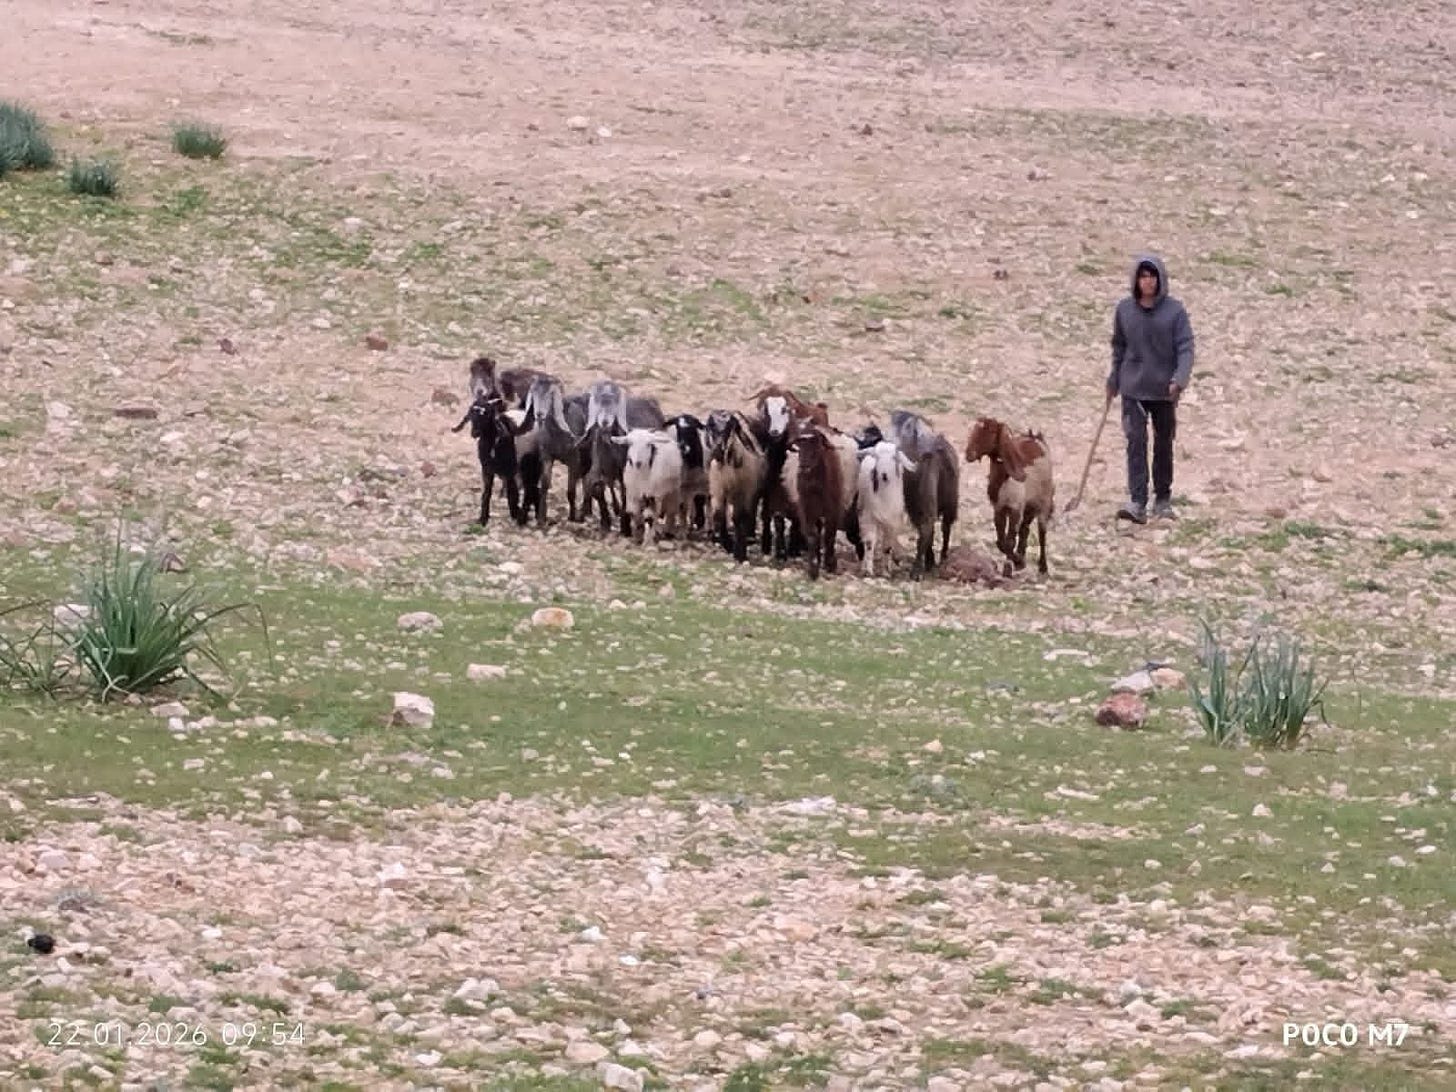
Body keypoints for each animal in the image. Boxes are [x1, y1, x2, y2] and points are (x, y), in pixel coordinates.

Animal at [706, 411, 768, 562]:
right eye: (711, 426)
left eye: (729, 427)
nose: (717, 449)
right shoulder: (720, 490)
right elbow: (722, 516)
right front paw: (730, 545)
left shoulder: (744, 493)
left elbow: (738, 517)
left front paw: (739, 552)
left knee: (745, 514)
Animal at [856, 440, 916, 577]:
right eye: (876, 457)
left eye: (894, 457)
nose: (884, 474)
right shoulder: (869, 517)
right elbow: (869, 543)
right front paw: (868, 570)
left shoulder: (892, 522)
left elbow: (887, 547)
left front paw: (886, 571)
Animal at [889, 409, 960, 578]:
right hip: (949, 497)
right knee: (940, 526)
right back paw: (938, 559)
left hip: (921, 500)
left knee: (928, 527)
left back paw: (918, 569)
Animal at [964, 416, 1055, 575]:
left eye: (992, 431)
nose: (969, 453)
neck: (1005, 478)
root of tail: (1034, 437)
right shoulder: (999, 508)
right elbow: (1001, 541)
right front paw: (1017, 561)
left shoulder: (1015, 508)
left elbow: (1009, 540)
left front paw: (1013, 563)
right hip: (1029, 507)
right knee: (1025, 529)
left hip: (1043, 500)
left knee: (1041, 531)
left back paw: (1042, 566)